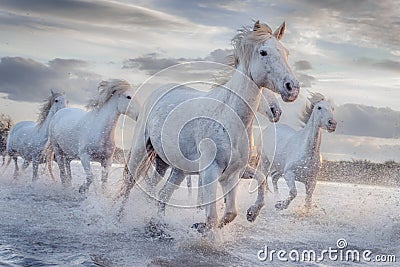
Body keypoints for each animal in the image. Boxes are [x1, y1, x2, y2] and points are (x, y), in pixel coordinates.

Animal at [117, 20, 298, 232]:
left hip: (174, 168)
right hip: (140, 150)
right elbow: (212, 215)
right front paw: (203, 227)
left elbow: (233, 209)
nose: (292, 88)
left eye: (286, 53)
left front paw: (250, 214)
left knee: (161, 194)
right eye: (263, 52)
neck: (230, 116)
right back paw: (118, 219)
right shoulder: (211, 171)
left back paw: (157, 224)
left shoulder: (233, 173)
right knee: (129, 184)